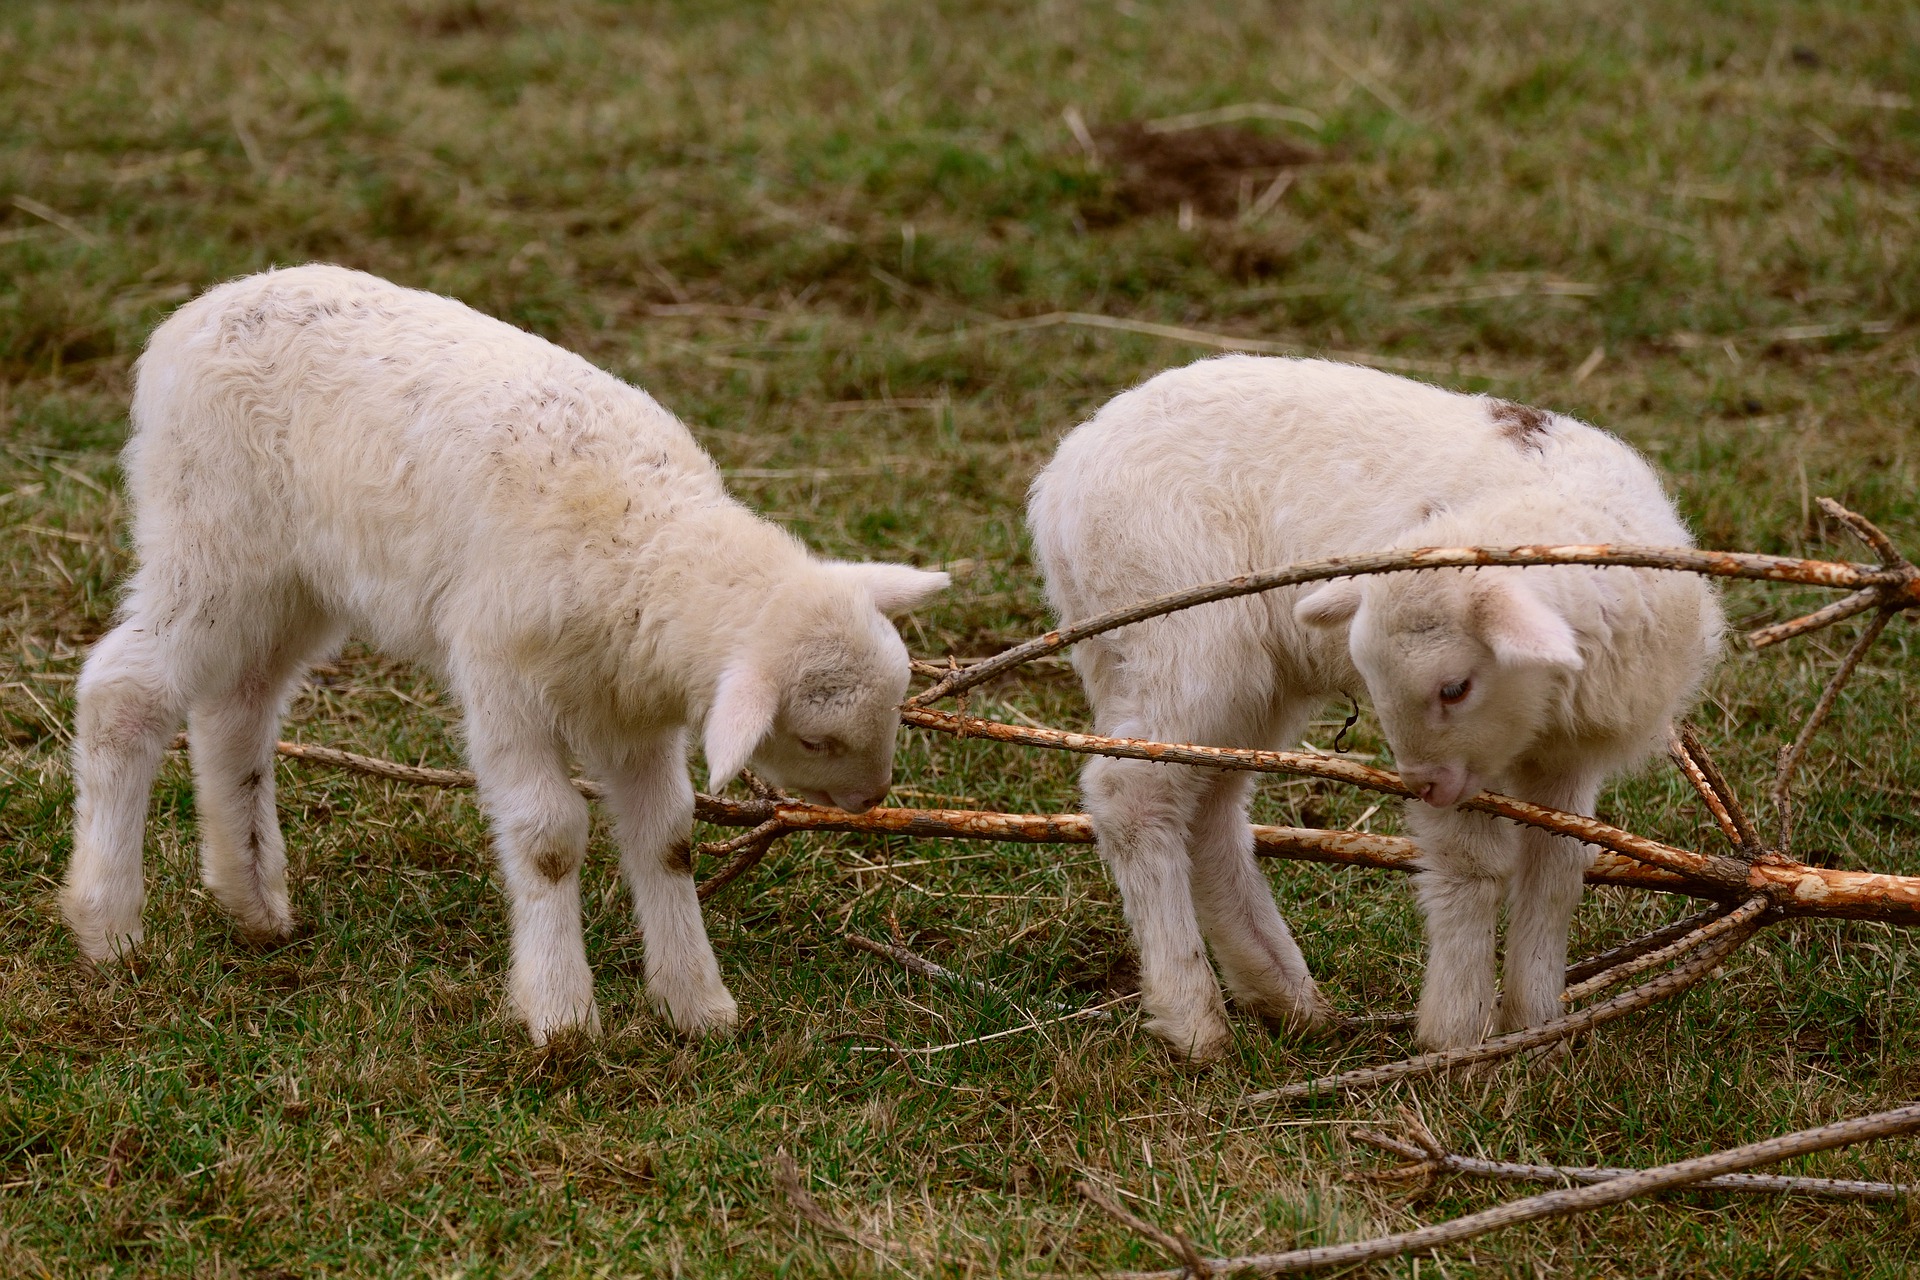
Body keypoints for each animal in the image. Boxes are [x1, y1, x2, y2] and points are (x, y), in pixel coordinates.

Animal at [63, 264, 948, 1043]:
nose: (873, 797)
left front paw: (696, 1005)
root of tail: (192, 317)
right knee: (125, 690)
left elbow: (668, 834)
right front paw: (561, 1016)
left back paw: (252, 902)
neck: (643, 539)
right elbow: (548, 838)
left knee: (236, 709)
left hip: (293, 581)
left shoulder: (628, 707)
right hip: (210, 534)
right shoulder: (502, 676)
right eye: (815, 738)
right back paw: (109, 925)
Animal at [1036, 353, 1728, 1059]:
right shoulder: (1464, 772)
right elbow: (1471, 867)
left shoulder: (1565, 758)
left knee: (1209, 812)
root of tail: (1064, 476)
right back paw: (1195, 1022)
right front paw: (1457, 1037)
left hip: (1223, 675)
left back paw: (1284, 996)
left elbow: (1558, 870)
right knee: (1133, 795)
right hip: (1182, 638)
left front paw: (1537, 1028)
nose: (1419, 785)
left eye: (1455, 688)